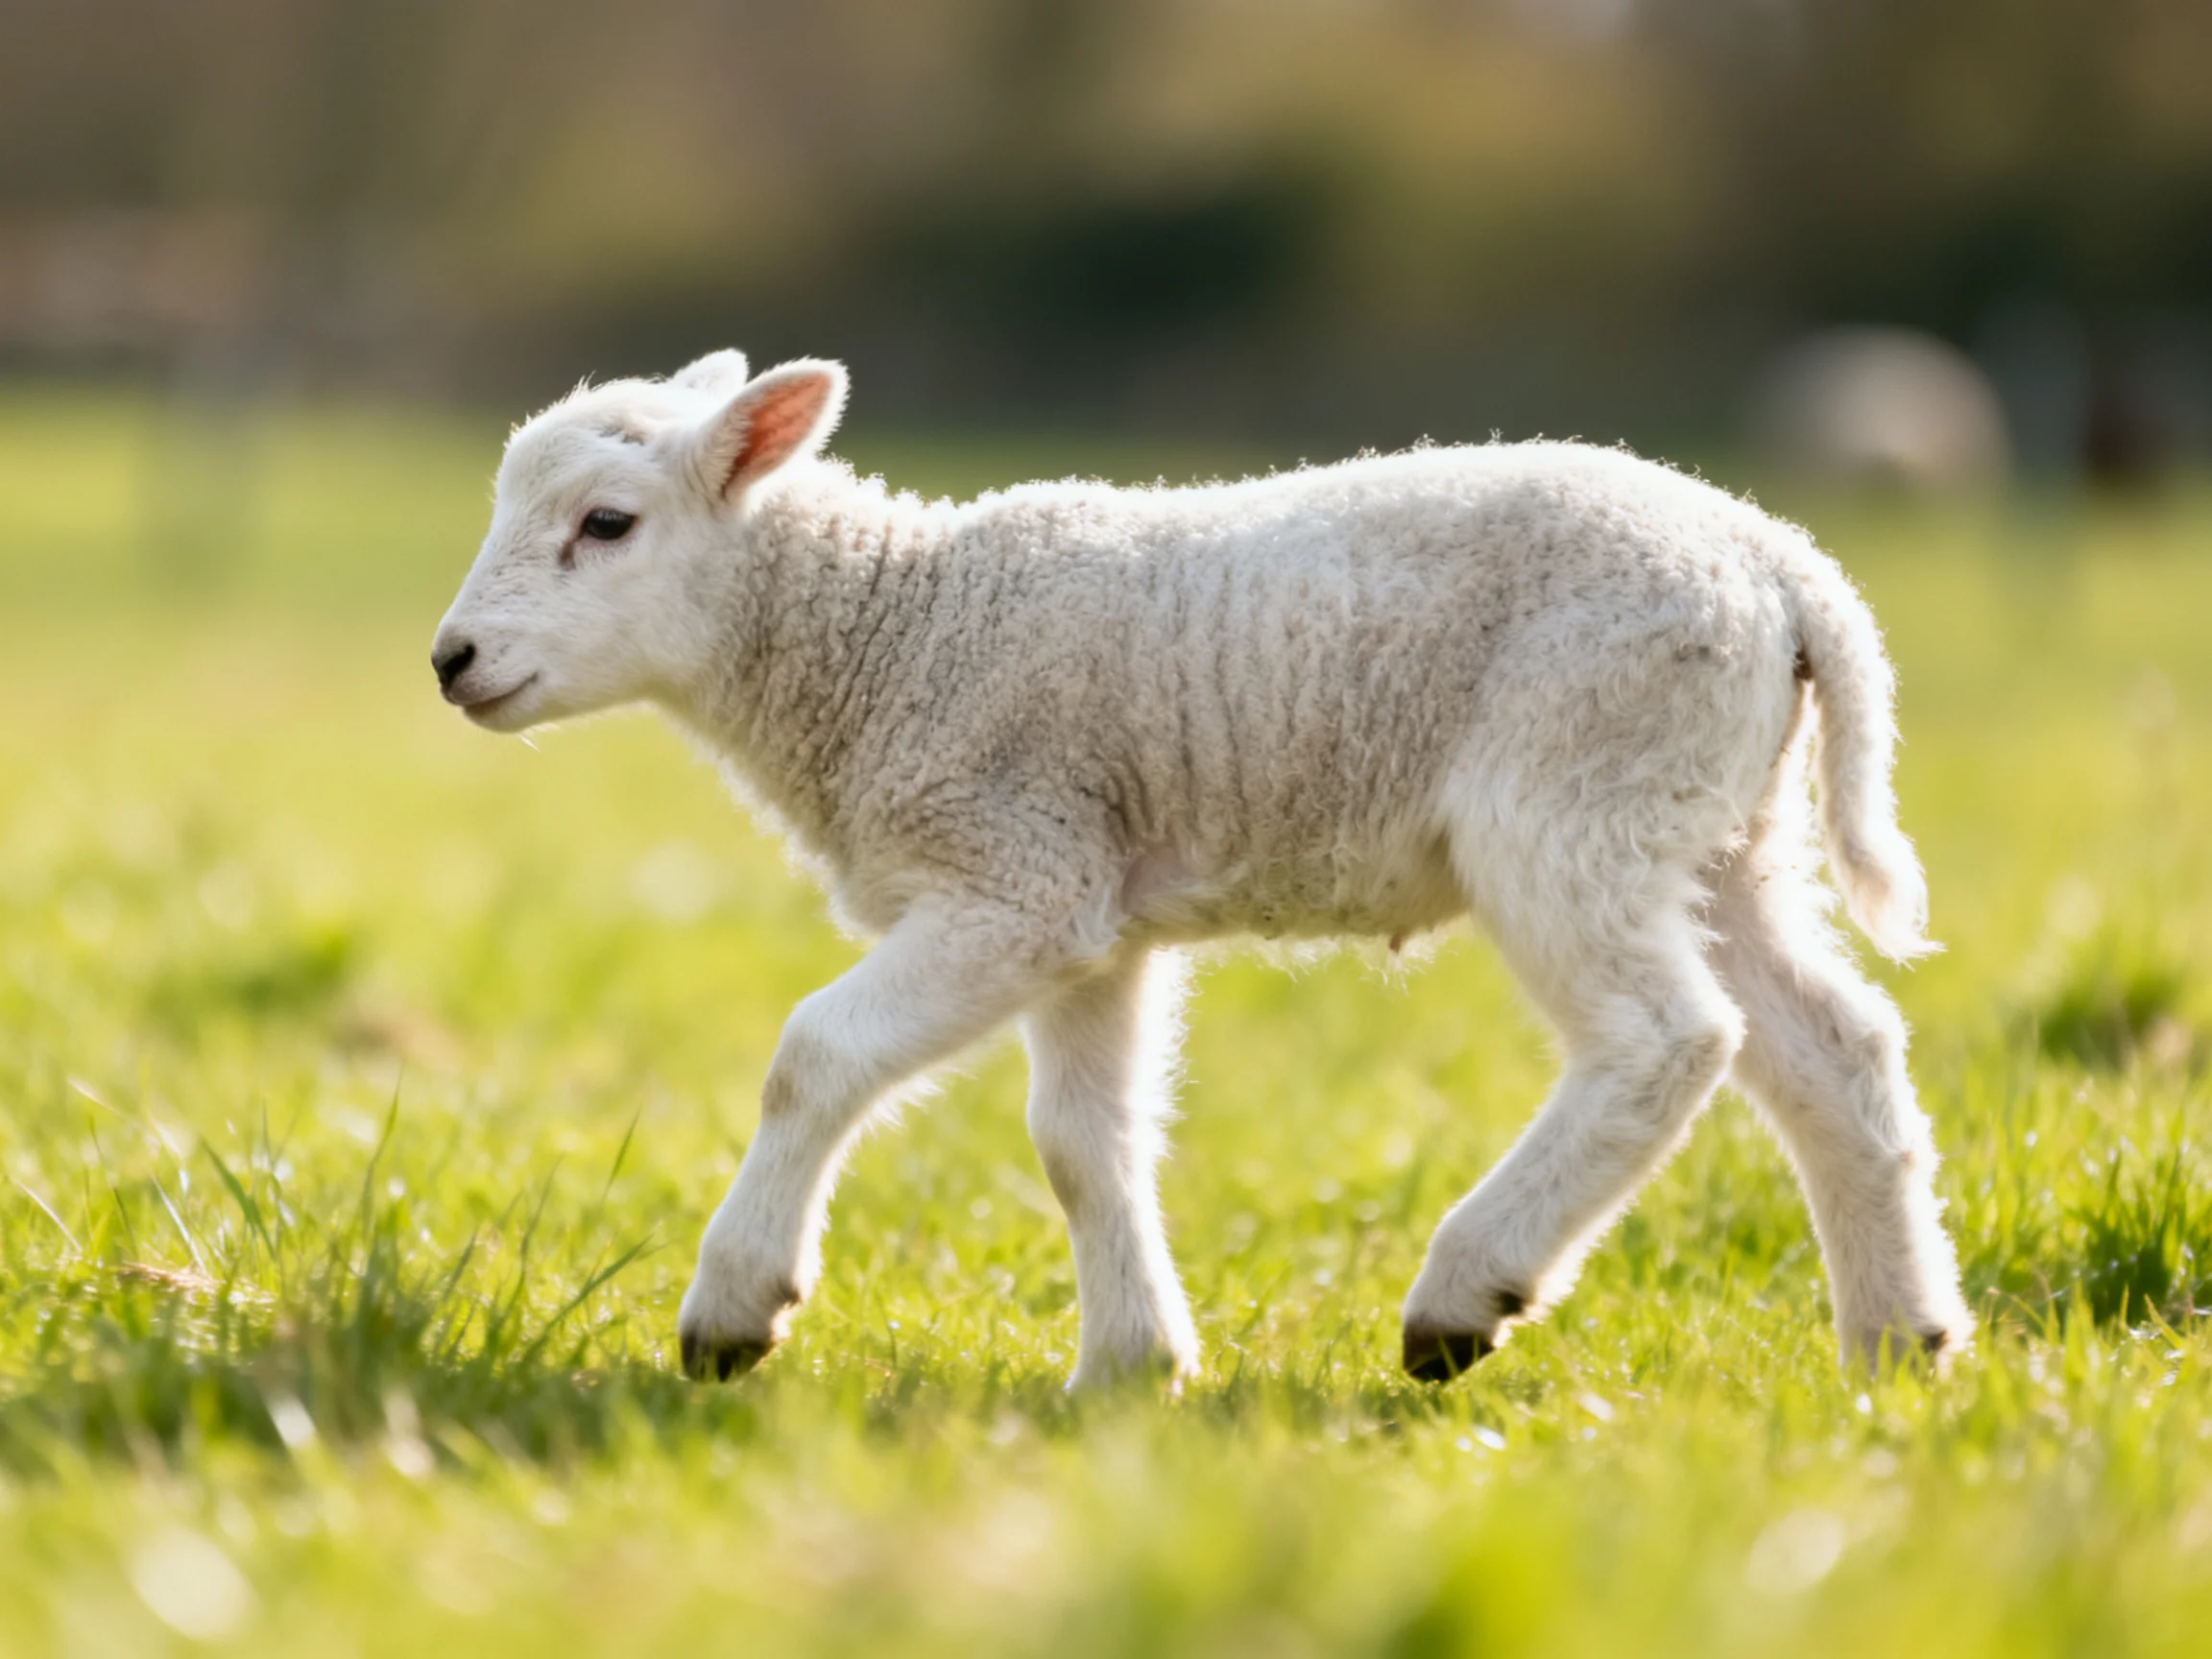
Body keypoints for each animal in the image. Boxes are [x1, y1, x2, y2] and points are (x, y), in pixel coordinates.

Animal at [430, 348, 1971, 1388]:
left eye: (607, 524)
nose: (451, 660)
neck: (889, 632)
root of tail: (1785, 566)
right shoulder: (1092, 914)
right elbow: (1083, 1141)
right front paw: (1131, 1367)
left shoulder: (1013, 874)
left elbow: (814, 1054)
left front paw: (735, 1310)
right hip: (1717, 825)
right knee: (1833, 1048)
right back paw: (1901, 1343)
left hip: (1577, 788)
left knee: (1668, 1037)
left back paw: (1466, 1295)